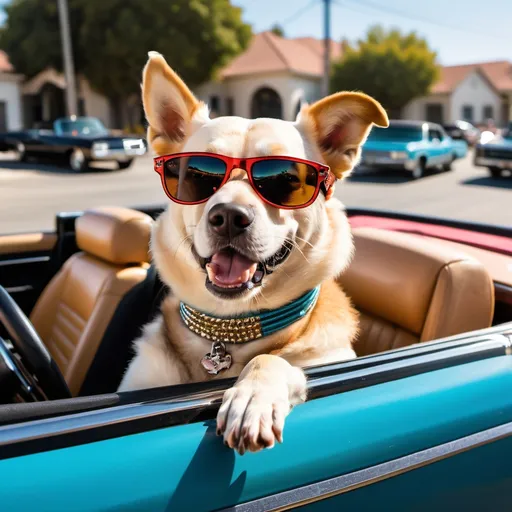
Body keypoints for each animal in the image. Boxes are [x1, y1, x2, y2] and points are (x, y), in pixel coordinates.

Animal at [117, 50, 388, 454]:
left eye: (286, 179)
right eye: (197, 174)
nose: (229, 216)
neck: (228, 329)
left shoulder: (329, 359)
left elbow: (270, 360)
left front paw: (252, 398)